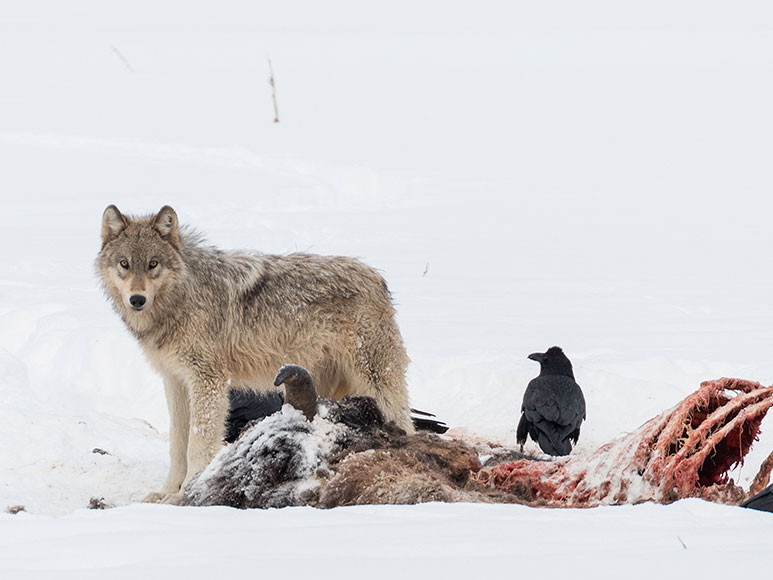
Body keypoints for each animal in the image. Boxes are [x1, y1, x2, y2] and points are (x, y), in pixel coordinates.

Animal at [96, 205, 413, 504]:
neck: (183, 297)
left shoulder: (208, 382)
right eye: (124, 264)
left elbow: (197, 446)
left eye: (153, 264)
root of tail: (377, 278)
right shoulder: (175, 381)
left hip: (377, 386)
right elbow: (177, 445)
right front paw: (165, 492)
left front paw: (184, 494)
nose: (137, 299)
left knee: (407, 426)